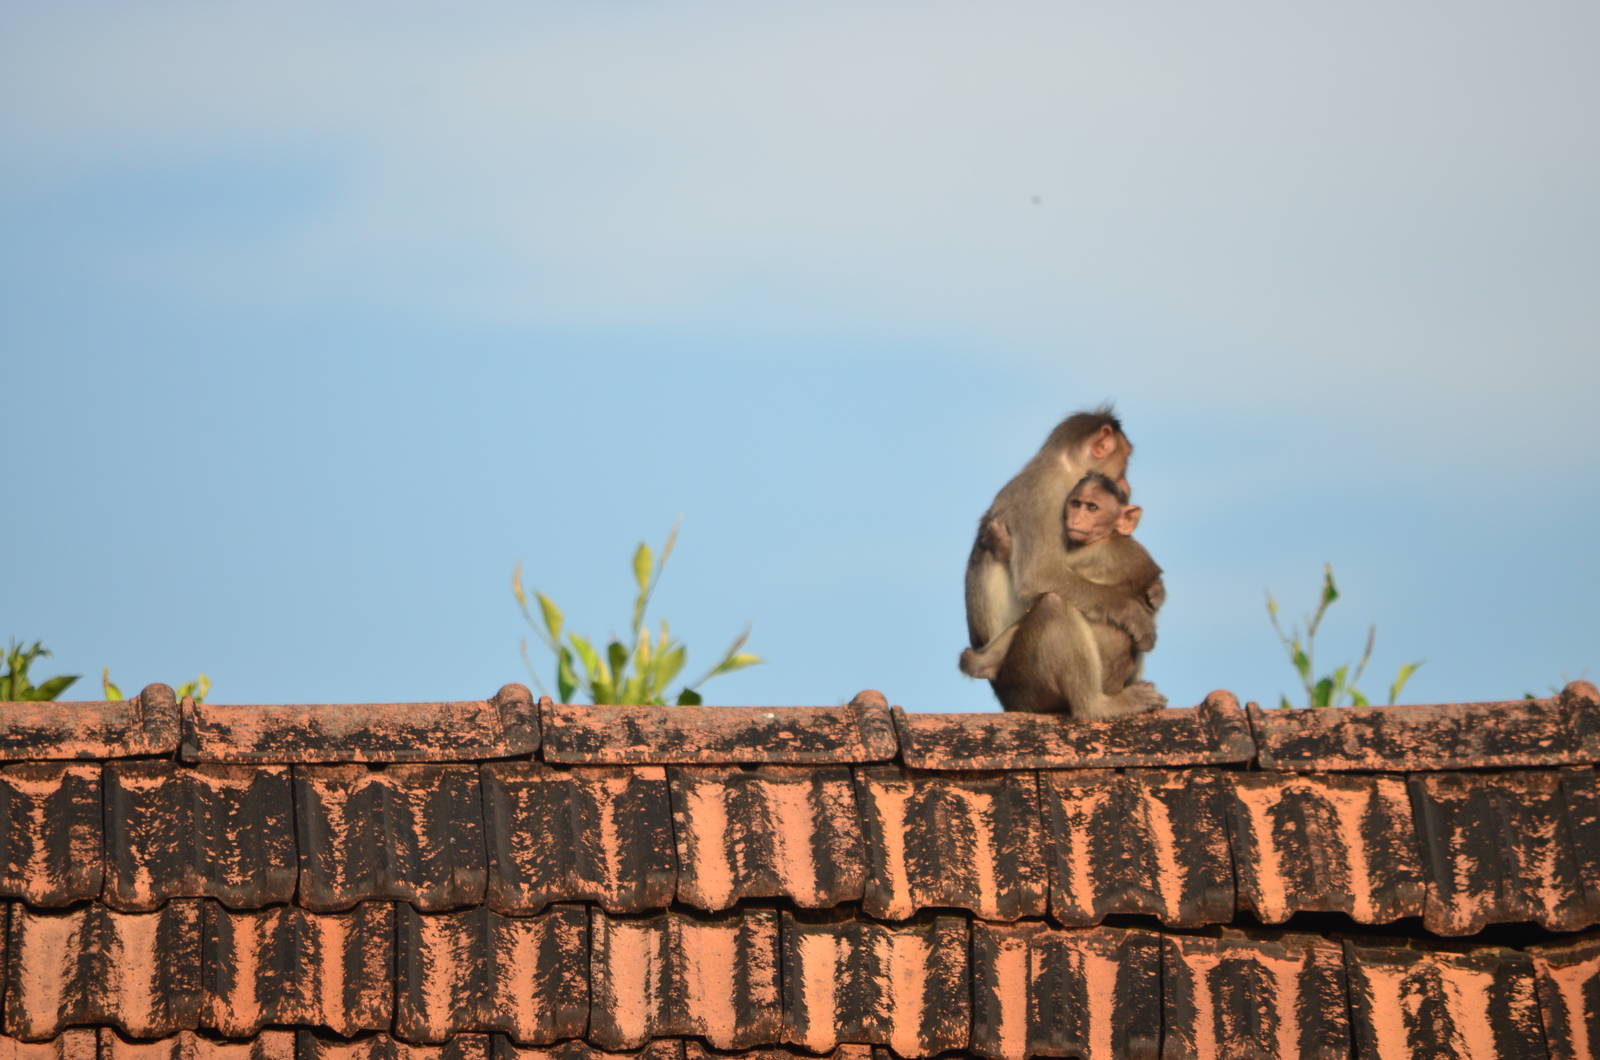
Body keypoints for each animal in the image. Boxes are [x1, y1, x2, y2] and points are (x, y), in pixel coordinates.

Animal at [960, 472, 1166, 716]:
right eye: (1075, 503)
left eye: (1092, 507)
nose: (1075, 519)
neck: (1107, 536)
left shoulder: (1102, 554)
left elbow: (1041, 578)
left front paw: (1003, 544)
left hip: (1030, 687)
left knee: (1054, 603)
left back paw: (1095, 706)